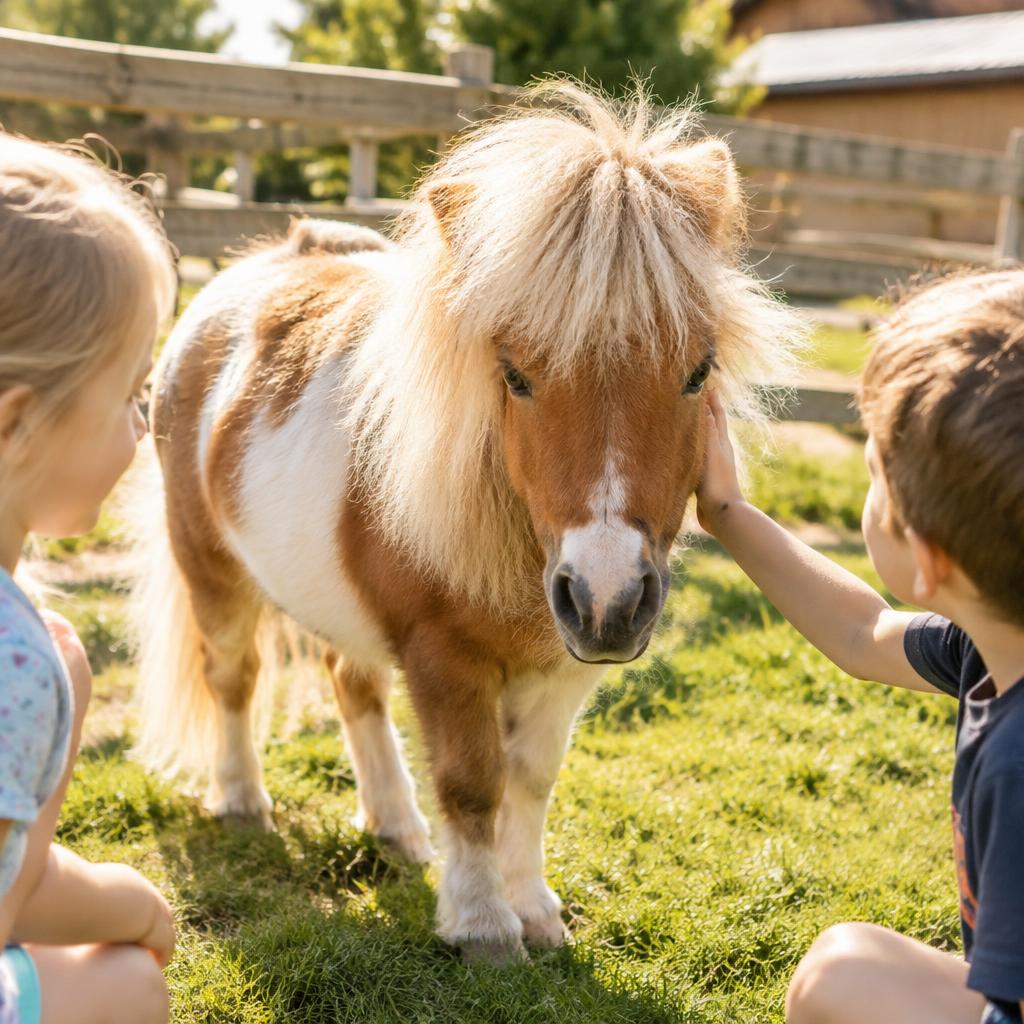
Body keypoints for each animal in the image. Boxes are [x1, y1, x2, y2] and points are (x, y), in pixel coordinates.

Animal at [131, 82, 802, 964]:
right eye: (514, 376)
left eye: (699, 372)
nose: (608, 600)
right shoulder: (443, 656)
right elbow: (473, 782)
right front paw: (484, 925)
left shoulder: (565, 669)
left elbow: (531, 781)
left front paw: (536, 912)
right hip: (210, 566)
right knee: (232, 679)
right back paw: (243, 803)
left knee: (352, 686)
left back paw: (396, 827)